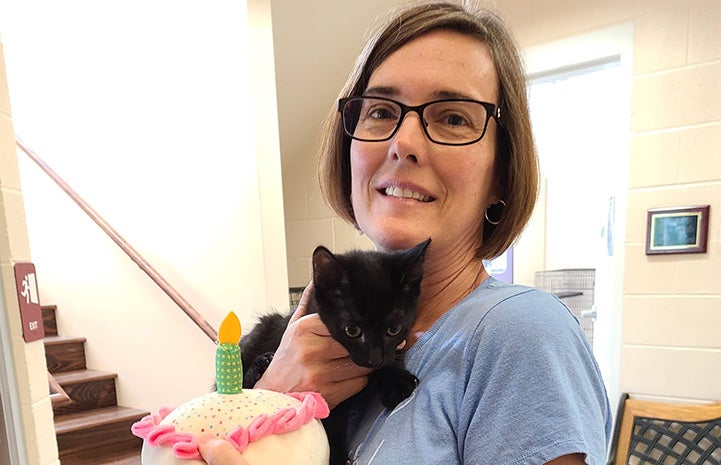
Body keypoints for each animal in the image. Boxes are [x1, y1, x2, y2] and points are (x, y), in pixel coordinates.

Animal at [239, 237, 428, 462]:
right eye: (352, 330)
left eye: (394, 329)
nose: (375, 359)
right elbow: (332, 426)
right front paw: (338, 457)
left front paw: (395, 378)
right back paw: (261, 365)